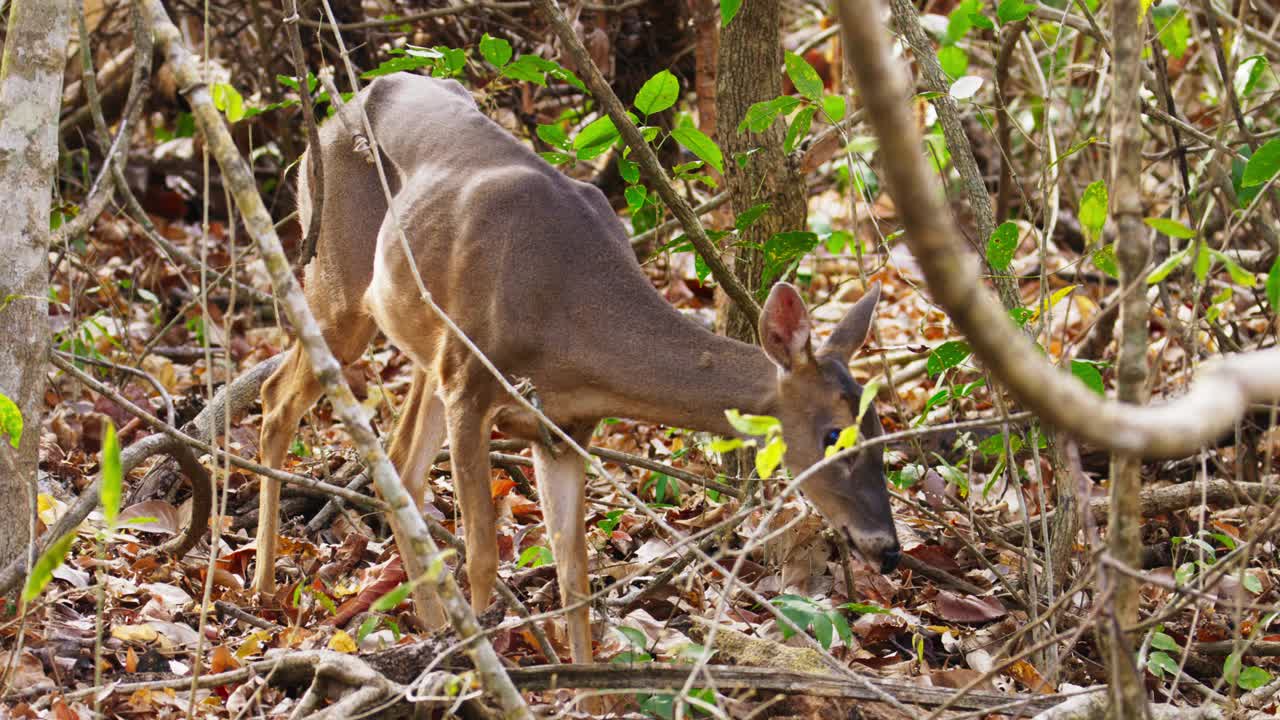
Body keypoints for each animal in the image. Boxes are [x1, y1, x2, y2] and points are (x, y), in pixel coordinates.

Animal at [254, 71, 901, 661]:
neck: (569, 321)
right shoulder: (471, 382)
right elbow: (484, 555)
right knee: (277, 397)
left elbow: (576, 579)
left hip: (424, 343)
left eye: (879, 435)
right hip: (342, 286)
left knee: (399, 461)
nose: (889, 548)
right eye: (833, 437)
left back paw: (430, 621)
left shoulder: (563, 430)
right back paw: (265, 588)